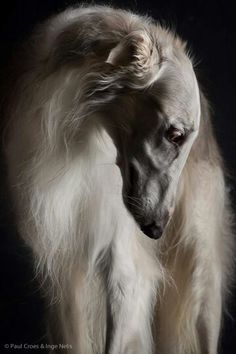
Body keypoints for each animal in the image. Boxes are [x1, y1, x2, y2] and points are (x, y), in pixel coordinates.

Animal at [2, 4, 233, 354]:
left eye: (185, 140)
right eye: (175, 135)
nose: (156, 230)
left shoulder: (125, 269)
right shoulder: (64, 269)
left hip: (199, 274)